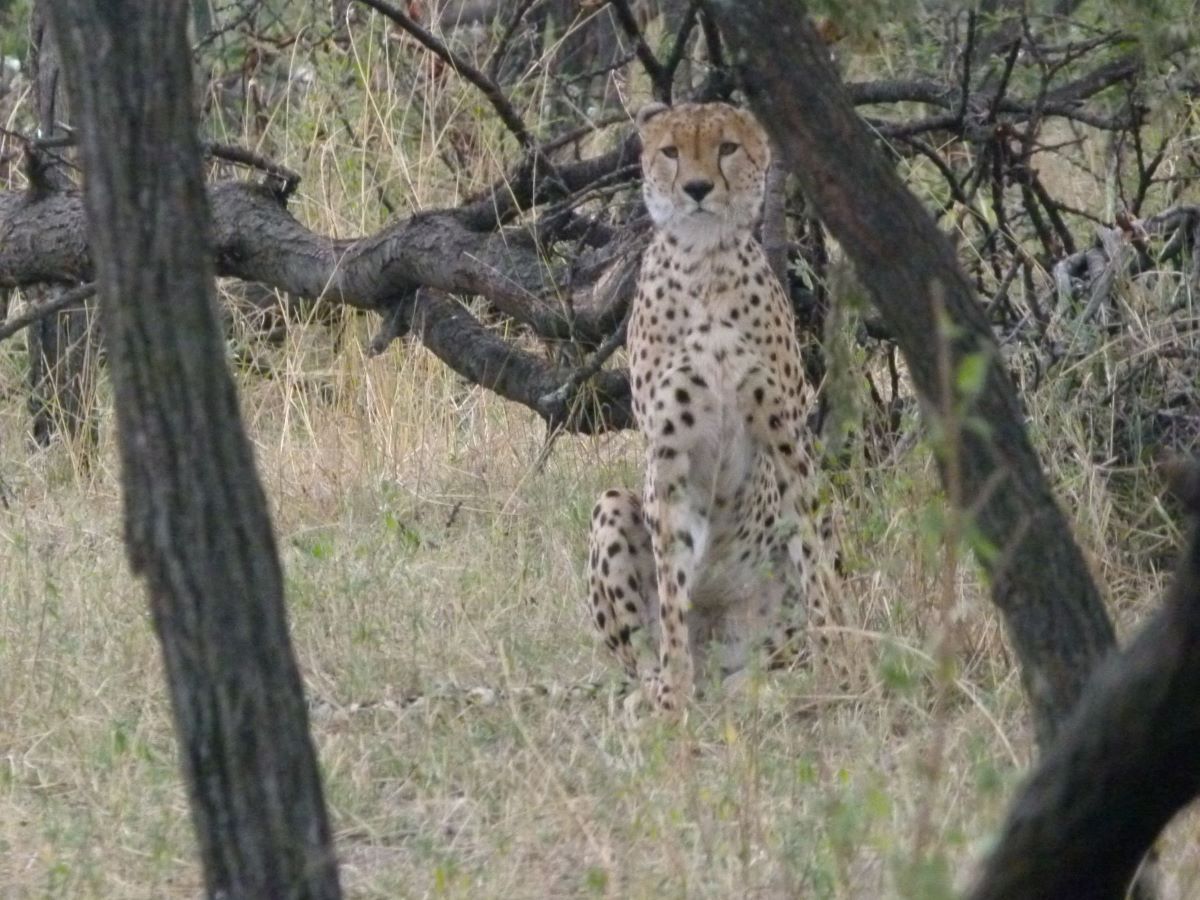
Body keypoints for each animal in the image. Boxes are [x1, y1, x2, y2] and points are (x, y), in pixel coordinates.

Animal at [586, 101, 836, 713]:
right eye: (671, 152)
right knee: (638, 656)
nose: (697, 188)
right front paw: (673, 696)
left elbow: (817, 564)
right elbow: (673, 586)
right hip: (611, 505)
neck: (706, 264)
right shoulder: (669, 456)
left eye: (726, 147)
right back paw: (656, 691)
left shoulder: (788, 437)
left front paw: (841, 662)